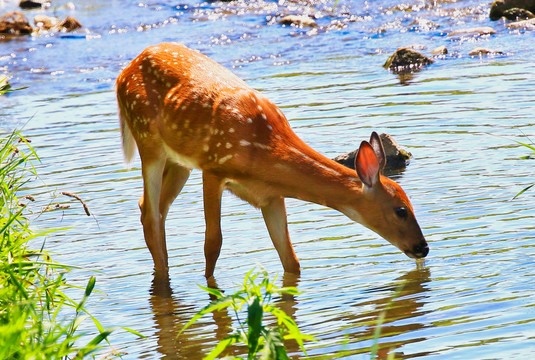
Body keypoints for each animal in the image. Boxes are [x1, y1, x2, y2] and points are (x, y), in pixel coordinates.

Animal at [115, 43, 430, 278]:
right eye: (401, 210)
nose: (423, 248)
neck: (265, 151)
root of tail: (122, 73)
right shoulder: (213, 167)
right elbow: (213, 243)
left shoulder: (271, 196)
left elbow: (290, 259)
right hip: (147, 140)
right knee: (150, 211)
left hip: (179, 162)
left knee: (153, 208)